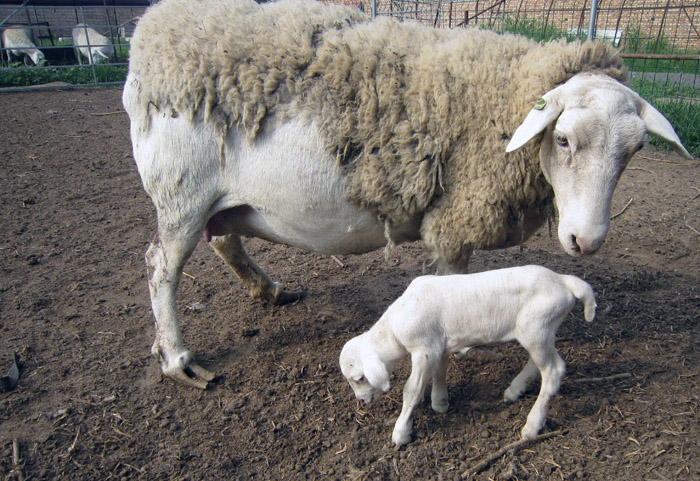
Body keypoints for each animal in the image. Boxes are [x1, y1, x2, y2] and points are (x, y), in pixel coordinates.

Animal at [123, 0, 692, 386]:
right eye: (564, 138)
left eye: (636, 149)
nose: (585, 241)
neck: (500, 102)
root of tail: (148, 32)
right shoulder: (455, 220)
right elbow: (454, 281)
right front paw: (463, 345)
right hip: (180, 192)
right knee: (160, 267)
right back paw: (176, 359)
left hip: (222, 197)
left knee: (224, 239)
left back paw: (270, 291)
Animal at [340, 264, 596, 444]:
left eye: (359, 378)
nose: (361, 400)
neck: (394, 329)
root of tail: (563, 281)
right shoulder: (438, 345)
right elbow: (440, 372)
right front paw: (440, 402)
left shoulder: (424, 349)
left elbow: (411, 391)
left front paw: (401, 432)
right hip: (540, 330)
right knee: (541, 363)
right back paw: (515, 390)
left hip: (537, 327)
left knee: (553, 371)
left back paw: (532, 425)